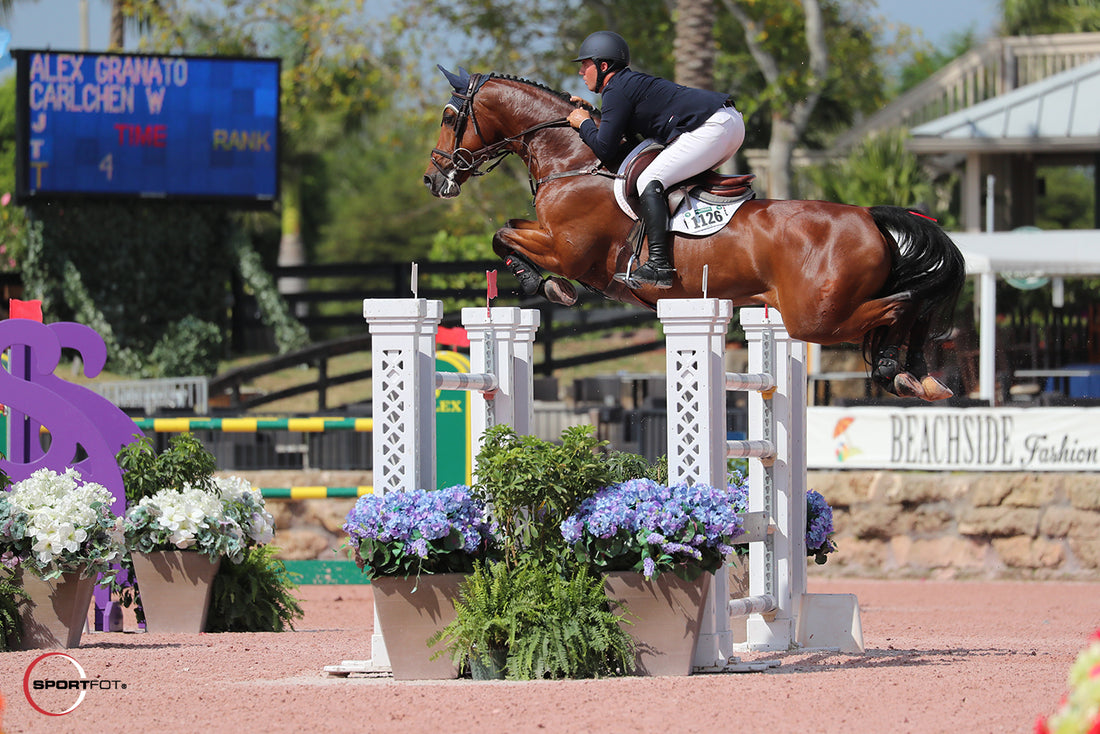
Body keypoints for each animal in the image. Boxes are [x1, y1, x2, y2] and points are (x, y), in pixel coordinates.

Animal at [424, 68, 968, 402]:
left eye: (451, 117)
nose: (433, 179)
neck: (575, 160)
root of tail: (869, 217)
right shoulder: (552, 237)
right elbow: (507, 232)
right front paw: (542, 284)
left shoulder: (569, 252)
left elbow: (504, 236)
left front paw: (547, 287)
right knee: (907, 306)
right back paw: (916, 377)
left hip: (815, 318)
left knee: (900, 305)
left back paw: (897, 372)